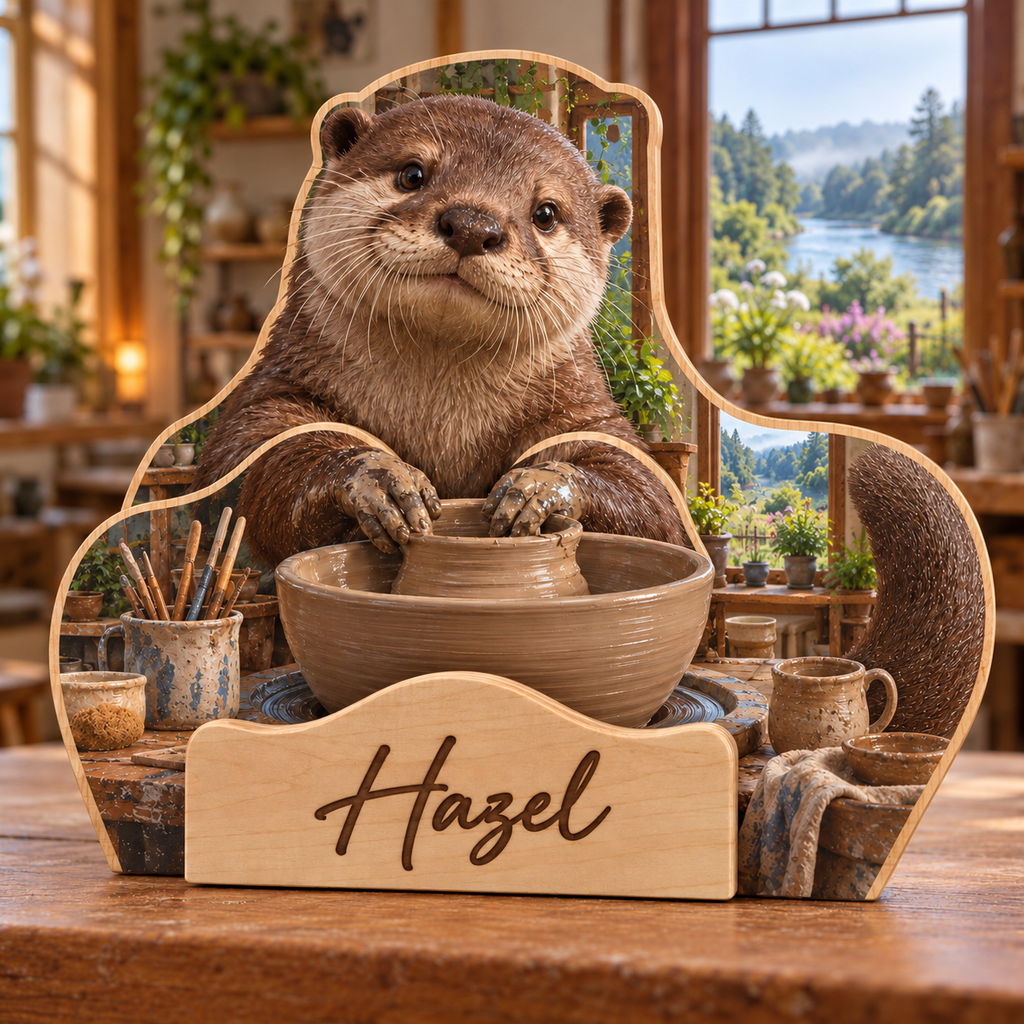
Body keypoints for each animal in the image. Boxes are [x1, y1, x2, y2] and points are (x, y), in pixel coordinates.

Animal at [191, 94, 685, 565]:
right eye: (412, 174)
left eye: (546, 213)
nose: (471, 224)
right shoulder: (274, 391)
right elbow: (250, 462)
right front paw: (377, 479)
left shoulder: (584, 412)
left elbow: (649, 494)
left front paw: (539, 488)